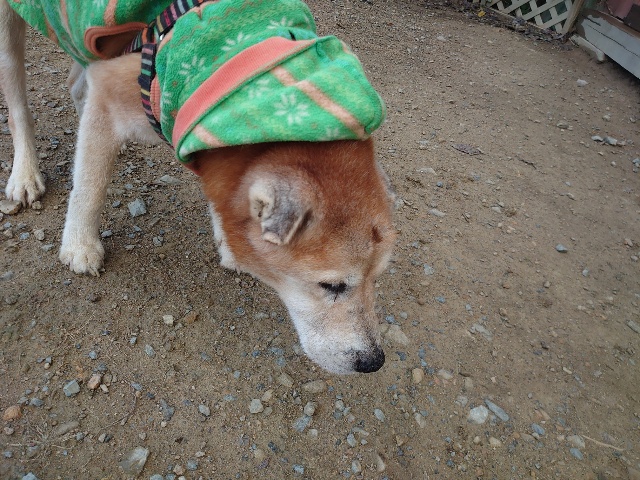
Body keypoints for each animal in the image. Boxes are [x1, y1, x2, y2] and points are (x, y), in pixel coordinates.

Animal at [0, 0, 396, 374]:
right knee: (18, 105)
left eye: (377, 278)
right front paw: (80, 246)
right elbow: (89, 187)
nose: (374, 362)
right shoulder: (108, 96)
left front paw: (227, 242)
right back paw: (25, 174)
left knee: (75, 83)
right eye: (332, 286)